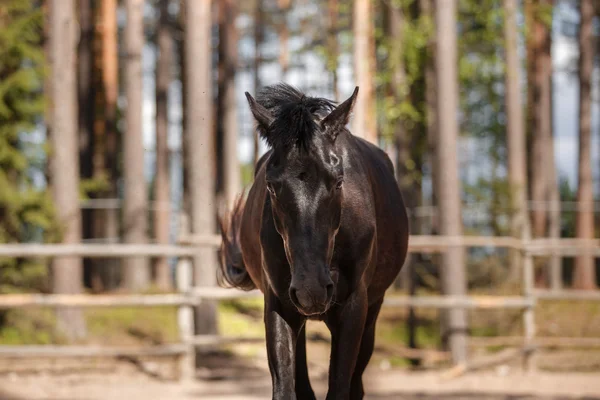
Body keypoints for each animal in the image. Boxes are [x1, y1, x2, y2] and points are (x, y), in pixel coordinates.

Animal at [218, 83, 410, 398]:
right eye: (271, 185)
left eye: (338, 181)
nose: (312, 290)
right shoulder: (279, 305)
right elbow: (286, 387)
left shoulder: (353, 309)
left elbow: (341, 388)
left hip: (372, 312)